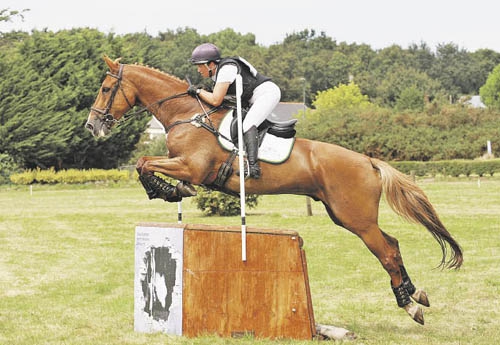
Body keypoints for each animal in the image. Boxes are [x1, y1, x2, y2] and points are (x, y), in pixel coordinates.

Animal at [87, 55, 464, 324]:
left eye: (105, 89)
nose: (92, 125)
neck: (188, 113)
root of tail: (368, 160)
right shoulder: (182, 164)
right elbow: (146, 162)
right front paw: (172, 191)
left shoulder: (192, 166)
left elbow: (144, 162)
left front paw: (164, 190)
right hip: (345, 216)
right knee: (393, 245)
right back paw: (416, 295)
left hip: (356, 218)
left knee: (385, 251)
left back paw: (410, 306)